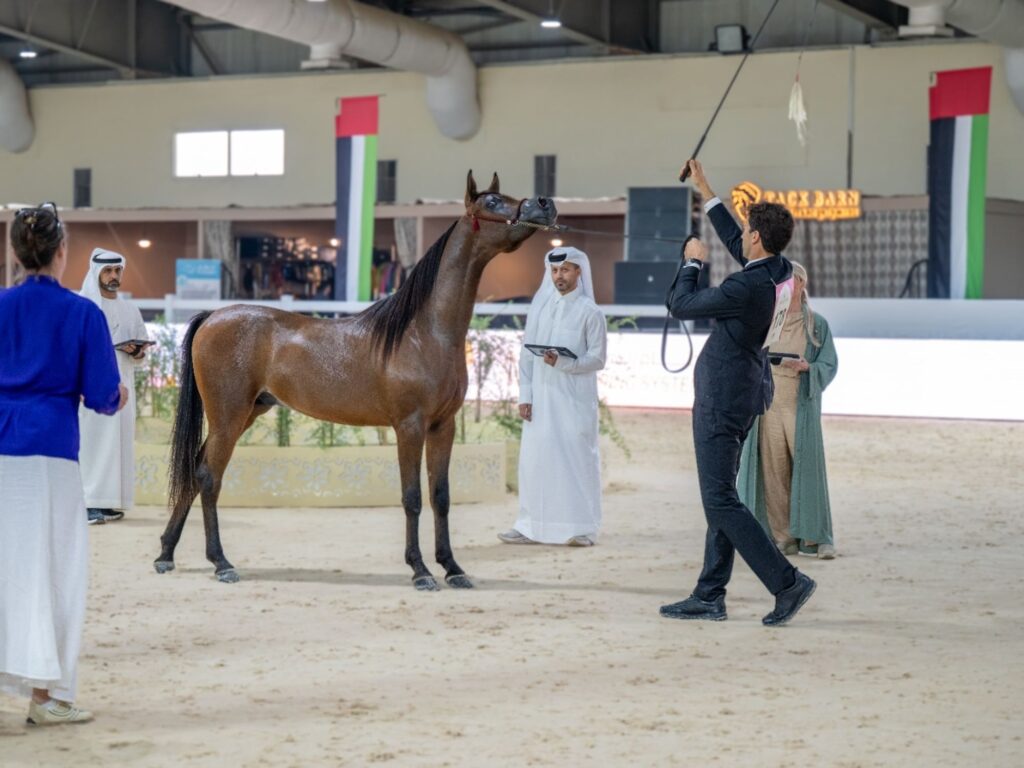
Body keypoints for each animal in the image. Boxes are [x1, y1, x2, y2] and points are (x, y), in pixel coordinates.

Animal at [154, 171, 557, 590]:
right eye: (491, 203)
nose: (544, 204)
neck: (424, 332)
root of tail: (212, 317)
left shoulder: (443, 426)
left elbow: (441, 496)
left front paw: (453, 568)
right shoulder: (409, 426)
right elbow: (412, 497)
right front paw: (420, 571)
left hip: (247, 412)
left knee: (194, 470)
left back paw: (166, 554)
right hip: (228, 416)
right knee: (208, 476)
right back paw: (221, 563)